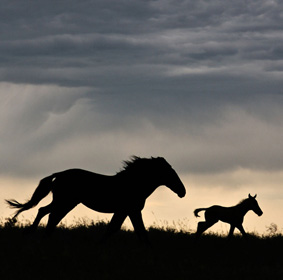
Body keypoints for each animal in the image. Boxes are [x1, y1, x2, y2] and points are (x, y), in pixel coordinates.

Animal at [6, 155, 186, 243]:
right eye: (169, 172)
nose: (182, 191)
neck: (133, 184)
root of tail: (59, 175)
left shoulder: (126, 211)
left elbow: (117, 229)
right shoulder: (131, 210)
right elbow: (133, 230)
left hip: (66, 202)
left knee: (48, 214)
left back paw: (41, 236)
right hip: (65, 201)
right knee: (47, 213)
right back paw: (32, 233)